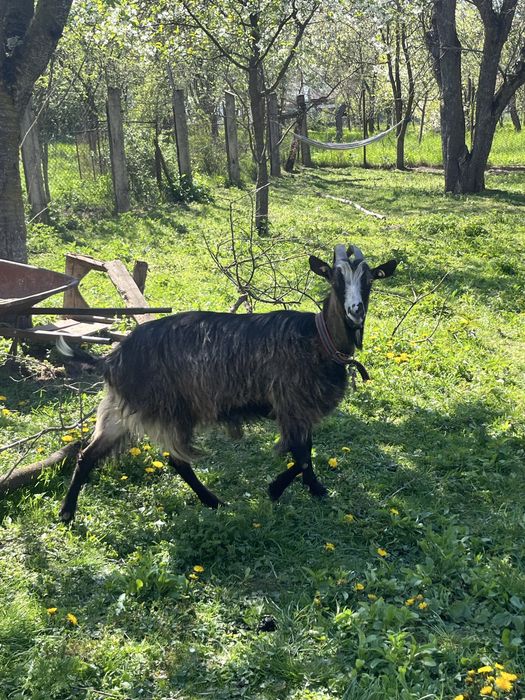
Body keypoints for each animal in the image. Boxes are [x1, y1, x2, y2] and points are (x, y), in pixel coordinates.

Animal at [59, 244, 397, 522]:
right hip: (170, 408)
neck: (319, 339)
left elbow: (307, 452)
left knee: (88, 454)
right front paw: (279, 489)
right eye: (335, 278)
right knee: (178, 461)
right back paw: (214, 502)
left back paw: (66, 513)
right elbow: (301, 457)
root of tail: (112, 358)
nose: (355, 311)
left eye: (369, 280)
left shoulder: (300, 409)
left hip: (122, 407)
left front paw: (312, 489)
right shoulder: (290, 403)